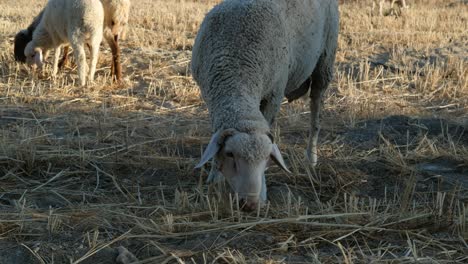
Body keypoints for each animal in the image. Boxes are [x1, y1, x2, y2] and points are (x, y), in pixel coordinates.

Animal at [192, 0, 338, 210]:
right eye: (229, 154)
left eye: (267, 158)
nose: (251, 204)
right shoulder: (210, 97)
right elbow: (215, 134)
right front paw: (215, 176)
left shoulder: (274, 94)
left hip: (325, 60)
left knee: (315, 112)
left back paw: (311, 158)